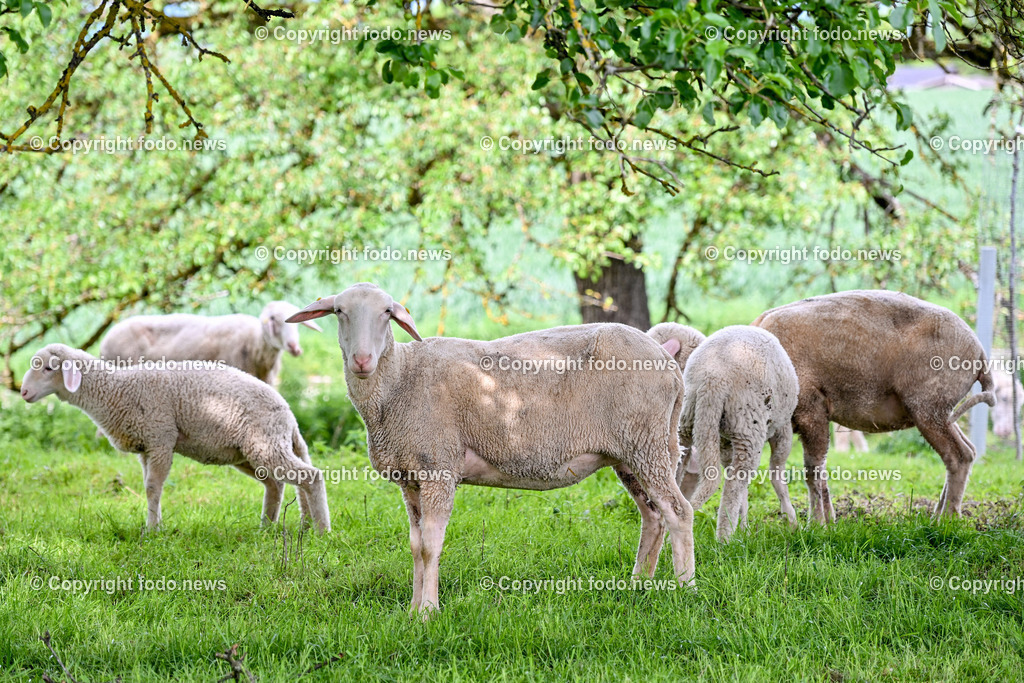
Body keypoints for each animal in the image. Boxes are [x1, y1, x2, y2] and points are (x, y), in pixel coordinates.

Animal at [20, 344, 330, 533]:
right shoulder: (145, 447)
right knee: (278, 484)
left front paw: (152, 530)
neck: (115, 391)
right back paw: (276, 526)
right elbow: (150, 487)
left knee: (310, 477)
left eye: (48, 368)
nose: (23, 393)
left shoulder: (160, 438)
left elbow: (152, 488)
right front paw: (154, 525)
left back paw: (320, 531)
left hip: (264, 443)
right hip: (250, 452)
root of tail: (289, 415)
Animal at [286, 283, 694, 615]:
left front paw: (428, 612)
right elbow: (415, 546)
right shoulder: (410, 477)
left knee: (678, 512)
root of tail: (669, 362)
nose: (362, 360)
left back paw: (685, 588)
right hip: (634, 451)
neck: (400, 379)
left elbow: (431, 545)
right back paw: (638, 583)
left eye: (387, 312)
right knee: (653, 515)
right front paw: (413, 609)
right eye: (340, 311)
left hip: (647, 442)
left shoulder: (439, 467)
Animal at [679, 326, 800, 541]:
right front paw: (791, 521)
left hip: (689, 419)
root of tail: (712, 379)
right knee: (735, 483)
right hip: (748, 424)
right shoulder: (783, 426)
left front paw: (744, 528)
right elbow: (776, 472)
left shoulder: (725, 440)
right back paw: (724, 539)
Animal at [752, 290, 995, 522]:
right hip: (944, 411)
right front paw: (829, 522)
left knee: (958, 455)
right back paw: (937, 515)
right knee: (969, 450)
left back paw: (946, 520)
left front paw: (818, 524)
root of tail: (980, 355)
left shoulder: (812, 409)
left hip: (929, 405)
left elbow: (813, 469)